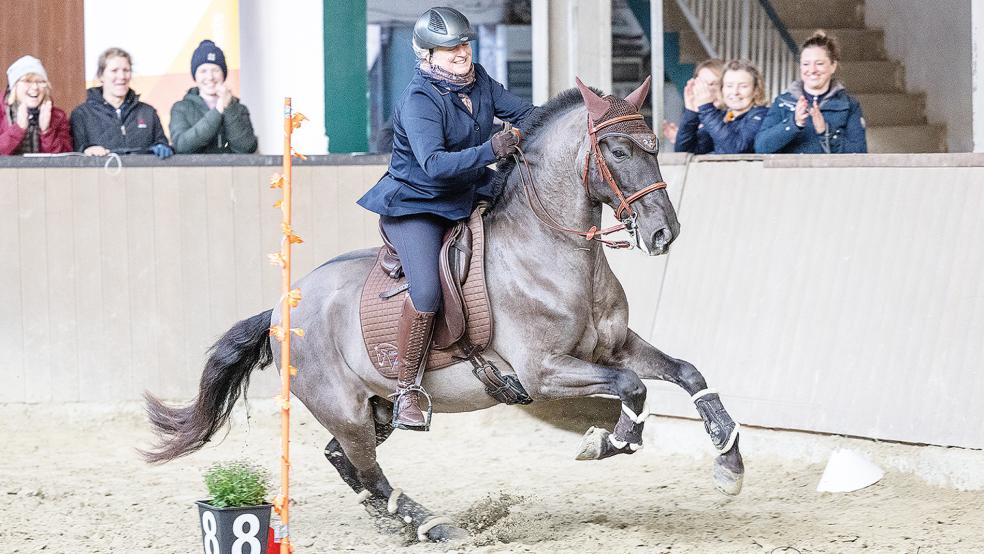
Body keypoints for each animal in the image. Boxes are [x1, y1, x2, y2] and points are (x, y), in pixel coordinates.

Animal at [142, 76, 740, 540]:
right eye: (617, 151)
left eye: (654, 147)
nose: (664, 233)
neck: (557, 252)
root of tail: (277, 310)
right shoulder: (545, 372)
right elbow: (632, 388)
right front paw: (609, 442)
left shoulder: (616, 346)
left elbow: (687, 373)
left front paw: (729, 462)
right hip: (345, 407)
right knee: (366, 466)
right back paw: (434, 525)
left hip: (374, 407)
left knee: (344, 459)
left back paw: (396, 522)